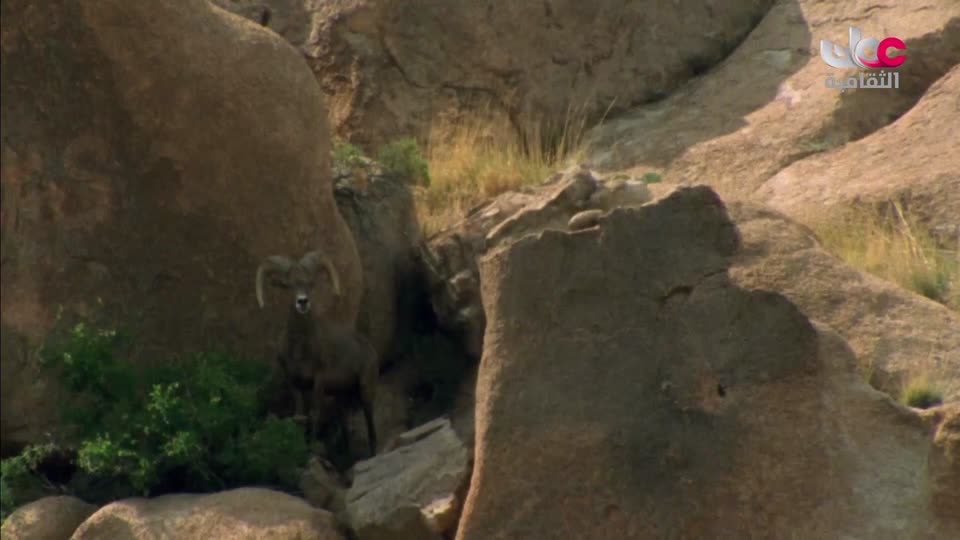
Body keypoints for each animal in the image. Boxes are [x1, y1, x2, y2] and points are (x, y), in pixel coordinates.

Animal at [258, 250, 378, 456]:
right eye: (288, 285)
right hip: (341, 396)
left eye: (310, 283)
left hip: (365, 389)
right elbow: (300, 416)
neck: (299, 351)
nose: (302, 302)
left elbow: (315, 415)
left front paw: (312, 451)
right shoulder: (294, 383)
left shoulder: (318, 381)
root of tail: (369, 348)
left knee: (370, 424)